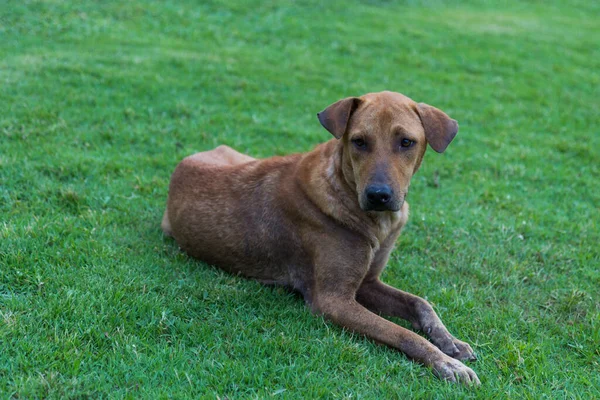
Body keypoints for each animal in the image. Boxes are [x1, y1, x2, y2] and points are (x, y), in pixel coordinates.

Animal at [162, 90, 480, 384]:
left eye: (406, 142)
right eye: (359, 141)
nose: (378, 195)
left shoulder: (368, 282)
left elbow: (420, 303)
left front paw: (450, 341)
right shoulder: (333, 299)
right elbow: (400, 332)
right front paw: (445, 363)